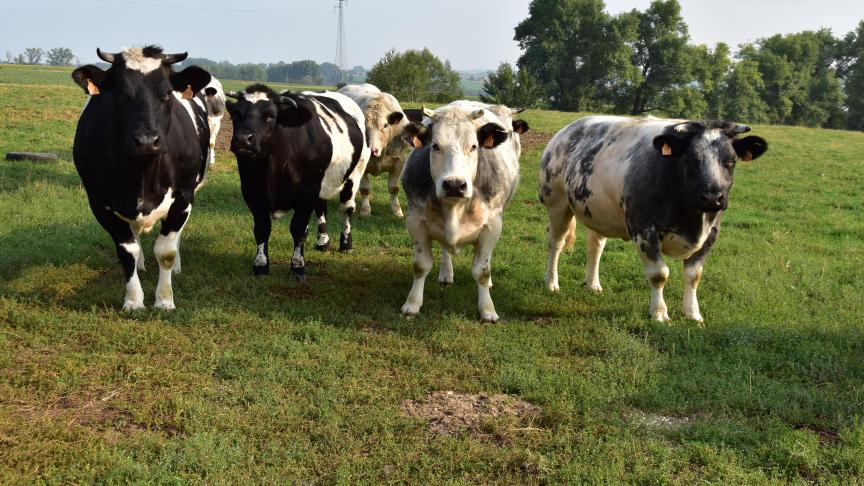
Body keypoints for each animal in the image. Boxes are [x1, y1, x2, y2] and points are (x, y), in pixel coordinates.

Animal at [71, 46, 213, 312]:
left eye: (167, 93)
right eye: (119, 93)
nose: (147, 141)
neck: (142, 175)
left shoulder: (183, 198)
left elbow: (166, 251)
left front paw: (165, 300)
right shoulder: (100, 203)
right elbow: (127, 251)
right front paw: (134, 301)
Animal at [224, 85, 370, 280]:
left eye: (270, 116)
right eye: (236, 114)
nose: (243, 139)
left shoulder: (307, 192)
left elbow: (298, 229)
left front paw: (298, 266)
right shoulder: (252, 191)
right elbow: (262, 228)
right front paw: (260, 265)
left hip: (355, 172)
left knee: (346, 208)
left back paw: (346, 244)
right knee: (321, 208)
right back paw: (323, 242)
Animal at [338, 83, 408, 216]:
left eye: (385, 125)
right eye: (364, 126)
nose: (373, 150)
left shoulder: (399, 161)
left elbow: (394, 188)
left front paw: (397, 210)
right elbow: (365, 189)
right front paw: (365, 210)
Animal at [398, 103, 528, 322]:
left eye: (474, 146)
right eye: (435, 146)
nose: (454, 185)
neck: (454, 208)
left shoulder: (492, 225)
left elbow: (482, 271)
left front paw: (487, 309)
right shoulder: (416, 221)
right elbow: (420, 266)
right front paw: (412, 304)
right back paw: (446, 274)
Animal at [540, 116, 768, 324]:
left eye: (730, 162)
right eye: (691, 161)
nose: (712, 197)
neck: (691, 218)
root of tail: (569, 128)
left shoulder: (711, 233)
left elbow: (694, 275)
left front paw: (693, 314)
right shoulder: (644, 229)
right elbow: (659, 274)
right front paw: (659, 313)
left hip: (598, 210)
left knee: (595, 245)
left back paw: (593, 284)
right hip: (556, 203)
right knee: (556, 243)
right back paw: (551, 283)